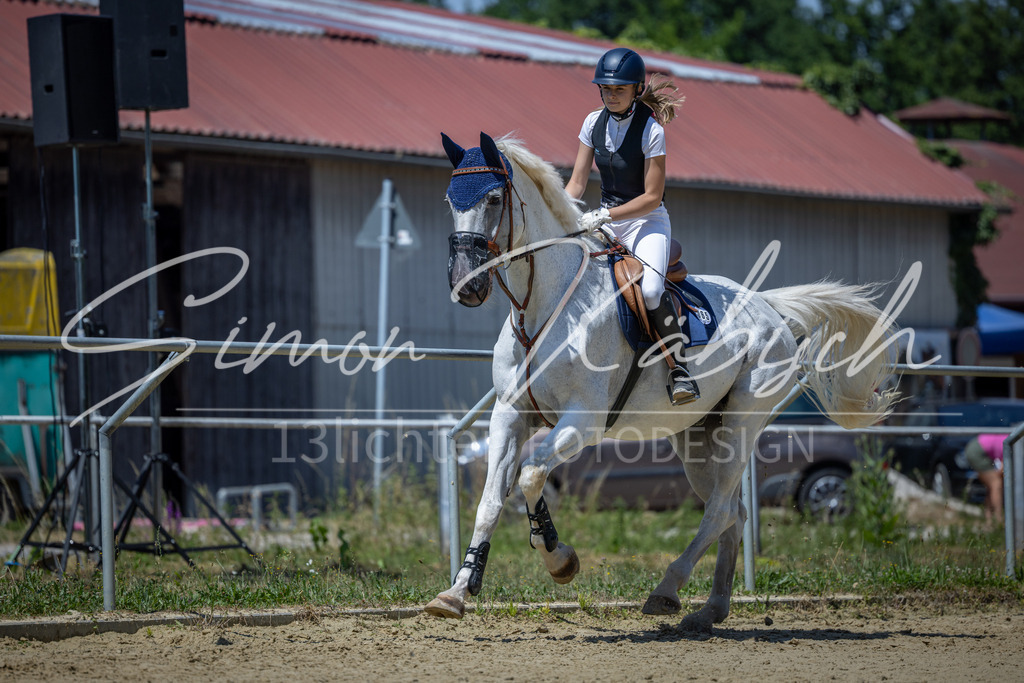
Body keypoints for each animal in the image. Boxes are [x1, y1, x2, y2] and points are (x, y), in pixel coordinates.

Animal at [424, 132, 899, 631]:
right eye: (450, 201)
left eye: (494, 198)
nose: (466, 285)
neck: (547, 304)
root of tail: (767, 305)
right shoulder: (510, 415)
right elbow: (490, 501)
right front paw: (457, 591)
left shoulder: (582, 420)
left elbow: (532, 474)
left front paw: (559, 558)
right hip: (698, 437)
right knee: (733, 512)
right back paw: (711, 609)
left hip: (742, 422)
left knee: (720, 509)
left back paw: (667, 591)